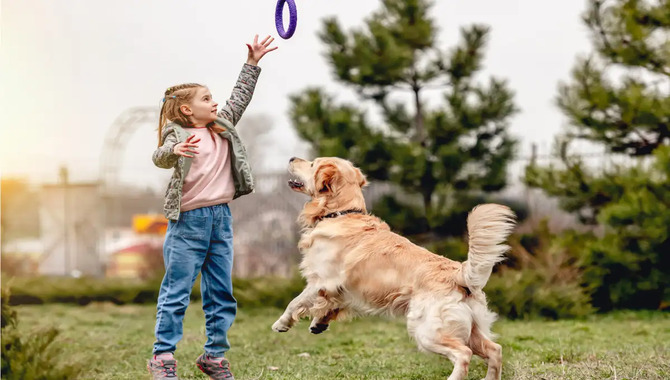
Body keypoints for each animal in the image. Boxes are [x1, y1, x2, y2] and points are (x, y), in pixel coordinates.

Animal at [270, 156, 516, 378]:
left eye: (312, 163)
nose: (292, 158)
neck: (341, 213)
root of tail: (460, 274)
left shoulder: (321, 280)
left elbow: (295, 302)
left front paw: (281, 324)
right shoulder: (342, 290)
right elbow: (329, 304)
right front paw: (319, 323)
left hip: (427, 330)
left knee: (464, 354)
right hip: (471, 329)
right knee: (495, 350)